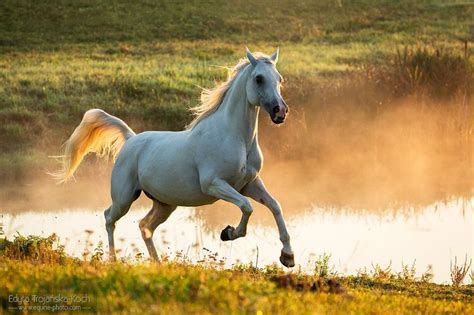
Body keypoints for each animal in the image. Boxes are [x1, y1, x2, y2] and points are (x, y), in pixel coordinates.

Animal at [53, 48, 294, 268]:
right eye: (258, 78)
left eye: (279, 79)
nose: (280, 111)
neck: (235, 136)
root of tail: (131, 139)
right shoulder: (214, 184)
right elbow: (247, 207)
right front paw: (228, 233)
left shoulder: (248, 184)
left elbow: (275, 206)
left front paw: (288, 257)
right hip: (124, 197)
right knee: (109, 217)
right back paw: (113, 261)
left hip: (164, 204)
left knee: (145, 226)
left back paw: (157, 263)